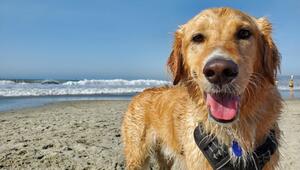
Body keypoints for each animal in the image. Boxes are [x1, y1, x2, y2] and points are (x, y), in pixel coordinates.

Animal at [120, 7, 282, 169]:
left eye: (244, 33)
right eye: (197, 37)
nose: (219, 71)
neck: (233, 133)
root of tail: (141, 92)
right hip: (137, 156)